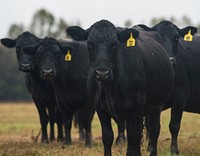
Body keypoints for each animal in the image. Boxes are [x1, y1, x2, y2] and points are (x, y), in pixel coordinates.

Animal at [67, 20, 173, 155]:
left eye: (114, 45)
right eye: (90, 45)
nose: (102, 73)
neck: (111, 87)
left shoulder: (137, 104)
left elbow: (134, 136)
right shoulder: (100, 107)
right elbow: (108, 136)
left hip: (156, 106)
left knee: (154, 131)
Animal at [139, 20, 198, 155]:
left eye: (176, 38)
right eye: (157, 38)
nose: (169, 60)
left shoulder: (180, 96)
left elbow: (174, 126)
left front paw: (174, 150)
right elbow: (150, 127)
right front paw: (150, 148)